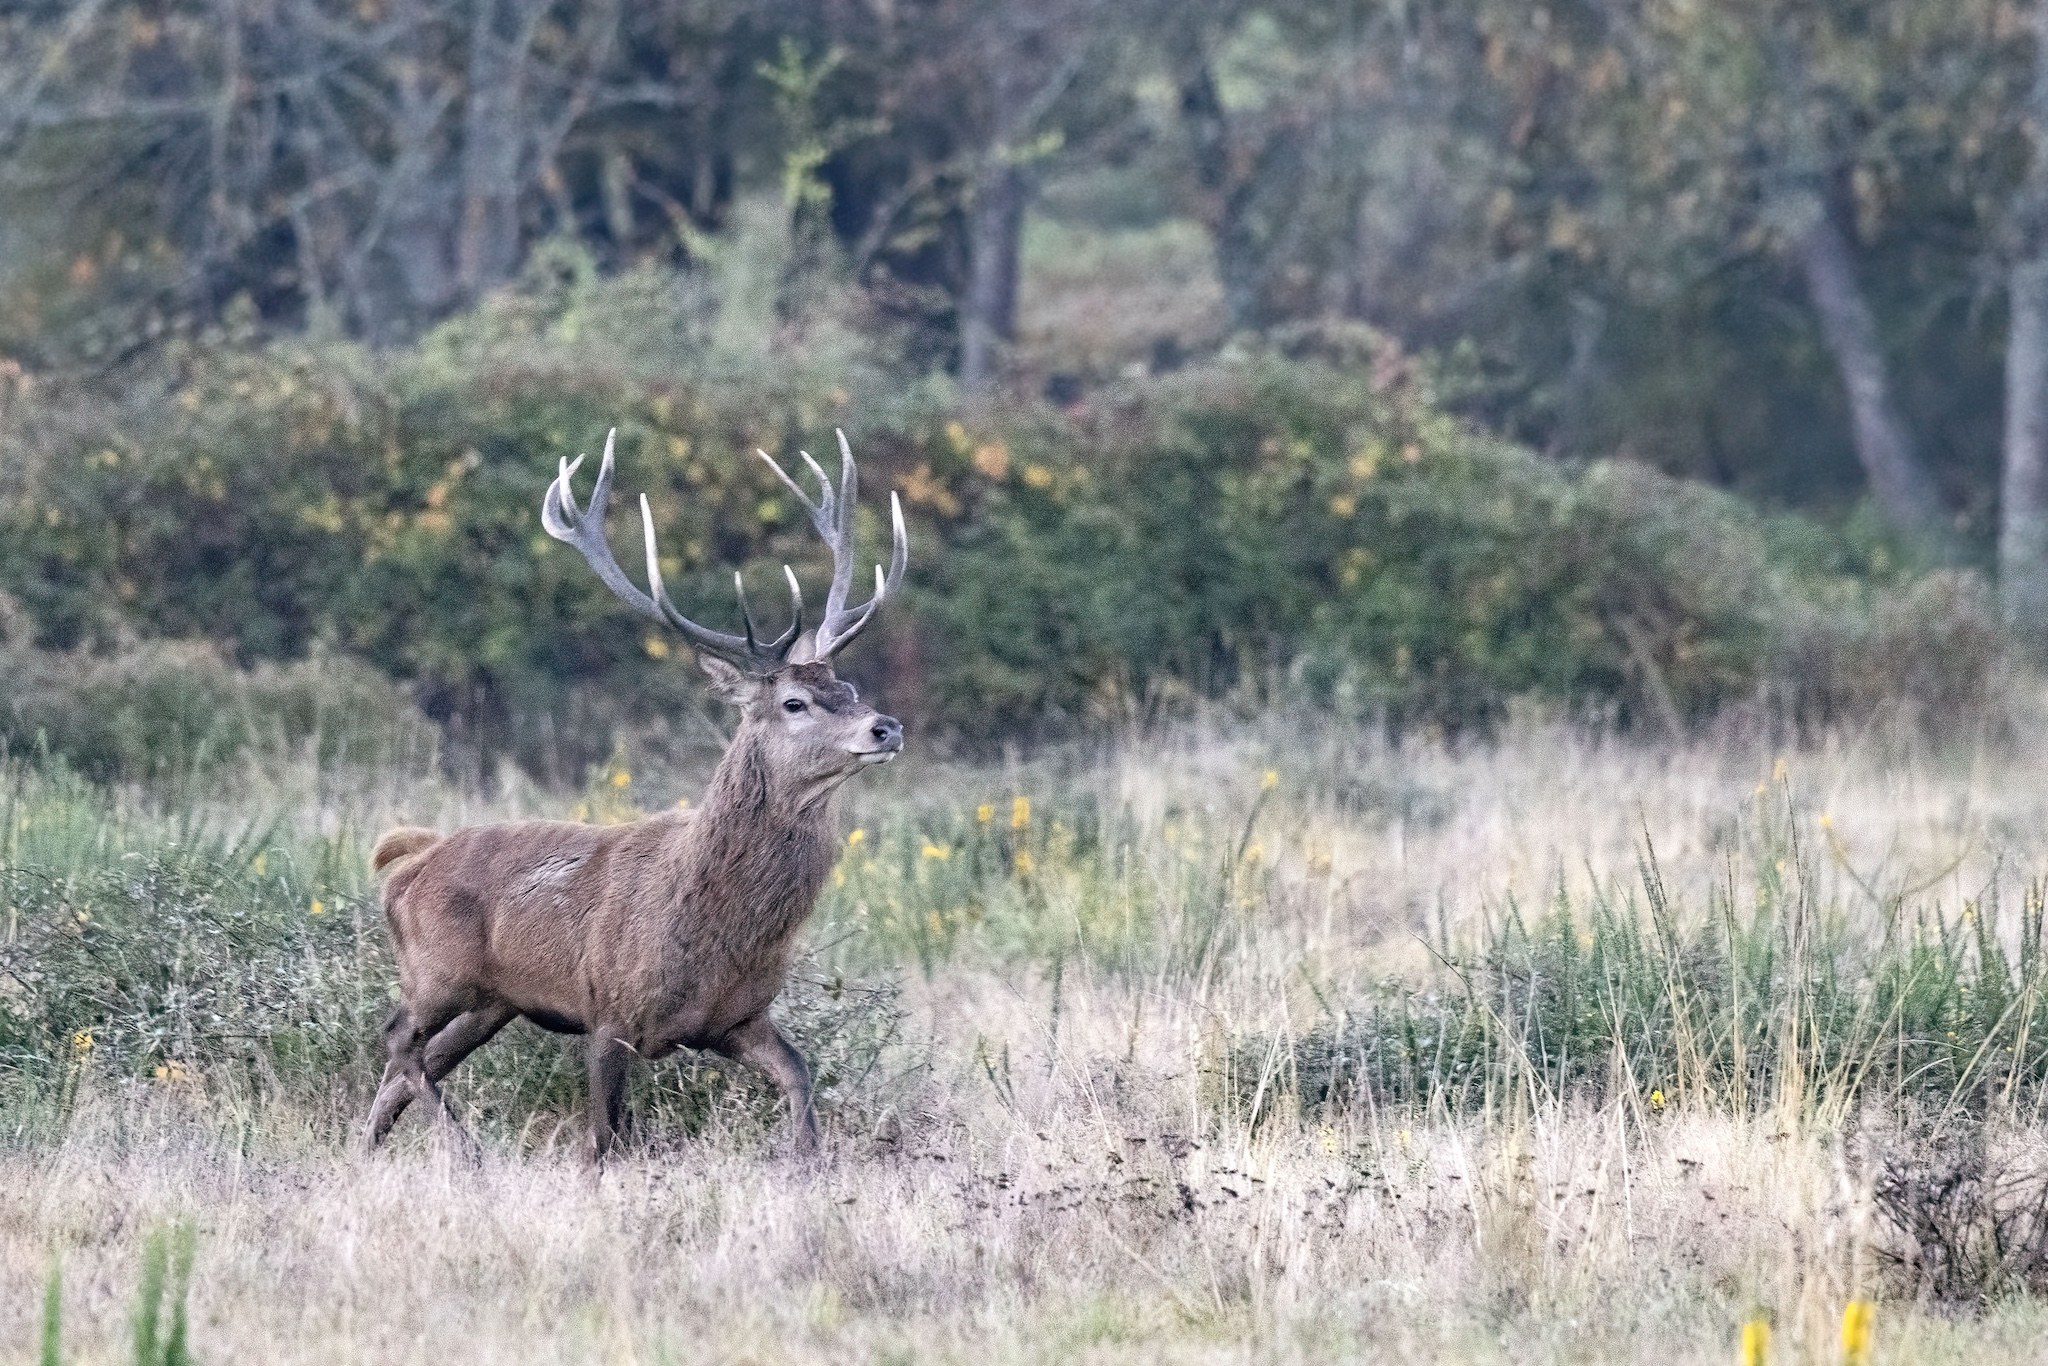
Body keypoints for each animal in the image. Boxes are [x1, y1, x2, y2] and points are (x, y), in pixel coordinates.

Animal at [361, 427, 907, 1160]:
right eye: (793, 702)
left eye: (846, 688)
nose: (886, 726)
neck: (715, 935)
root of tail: (411, 862)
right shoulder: (608, 1011)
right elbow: (604, 1141)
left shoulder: (738, 1019)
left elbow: (800, 1080)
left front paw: (805, 1165)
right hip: (436, 971)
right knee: (398, 1041)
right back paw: (466, 1151)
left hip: (492, 1000)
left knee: (407, 1068)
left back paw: (367, 1153)